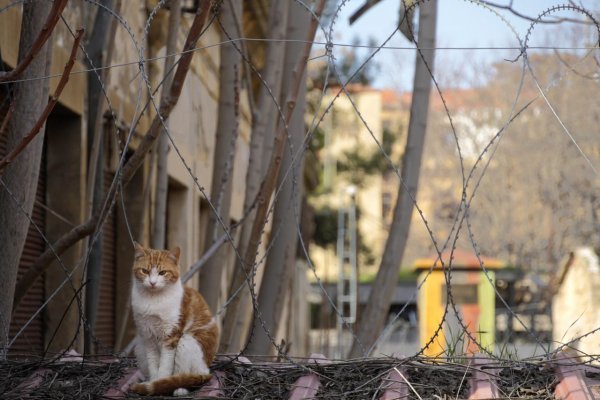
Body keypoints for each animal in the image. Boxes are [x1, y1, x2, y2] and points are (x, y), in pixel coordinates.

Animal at [130, 242, 219, 396]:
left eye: (162, 272)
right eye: (145, 271)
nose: (152, 283)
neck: (153, 300)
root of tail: (208, 370)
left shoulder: (171, 337)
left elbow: (165, 367)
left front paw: (158, 385)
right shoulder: (148, 338)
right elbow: (154, 364)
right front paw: (153, 382)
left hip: (186, 342)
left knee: (185, 375)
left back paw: (179, 388)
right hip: (140, 347)